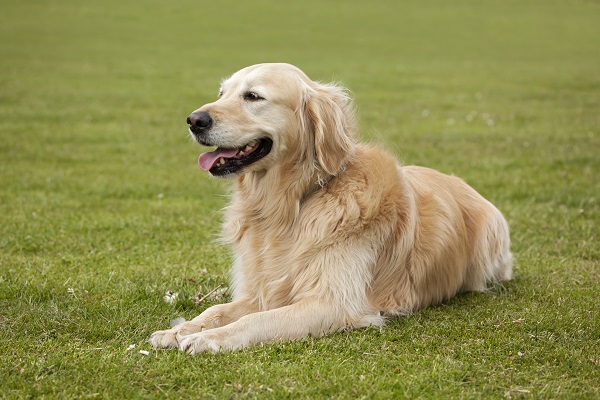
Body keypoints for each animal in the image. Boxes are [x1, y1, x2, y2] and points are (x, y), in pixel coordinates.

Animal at [149, 62, 510, 354]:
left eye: (253, 96)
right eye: (222, 93)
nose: (194, 120)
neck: (289, 206)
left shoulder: (332, 302)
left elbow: (257, 321)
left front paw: (210, 338)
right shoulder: (262, 289)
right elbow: (218, 311)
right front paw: (179, 330)